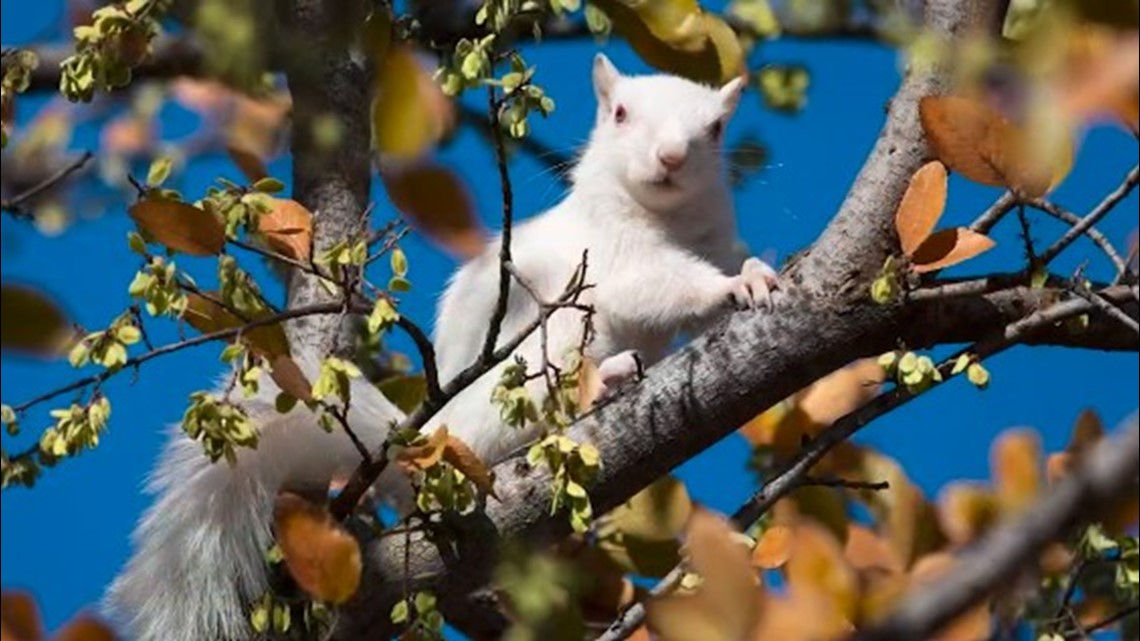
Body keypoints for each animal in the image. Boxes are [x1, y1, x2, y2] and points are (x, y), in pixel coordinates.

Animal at [102, 53, 779, 638]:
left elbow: (718, 262)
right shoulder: (611, 256)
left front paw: (751, 271)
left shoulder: (710, 235)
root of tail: (428, 444)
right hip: (538, 352)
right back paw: (603, 382)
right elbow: (655, 285)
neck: (664, 219)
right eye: (619, 114)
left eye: (715, 128)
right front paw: (730, 287)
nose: (670, 157)